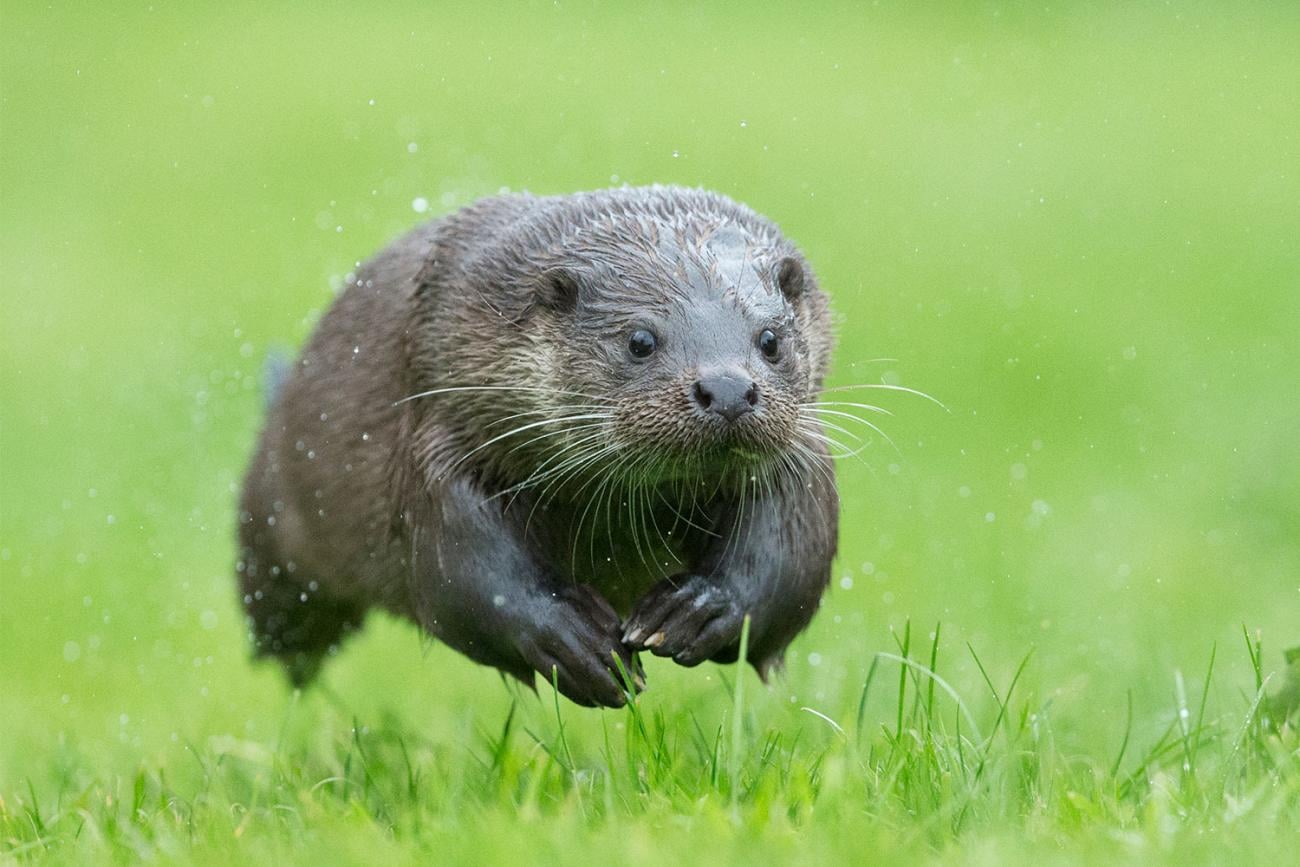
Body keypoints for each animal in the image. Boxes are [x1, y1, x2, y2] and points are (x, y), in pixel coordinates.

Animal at [237, 186, 839, 708]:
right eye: (640, 339)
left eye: (770, 340)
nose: (729, 389)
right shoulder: (442, 439)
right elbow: (465, 569)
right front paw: (575, 643)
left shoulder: (801, 457)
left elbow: (790, 555)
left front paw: (698, 609)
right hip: (270, 522)